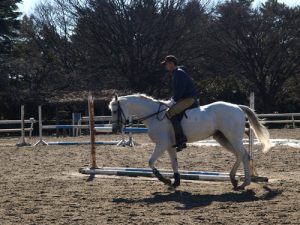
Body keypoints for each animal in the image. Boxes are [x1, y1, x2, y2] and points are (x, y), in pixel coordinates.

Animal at [108, 93, 272, 190]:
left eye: (115, 111)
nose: (115, 129)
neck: (154, 115)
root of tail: (237, 106)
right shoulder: (169, 146)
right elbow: (174, 163)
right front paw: (175, 182)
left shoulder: (161, 145)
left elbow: (150, 162)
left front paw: (165, 180)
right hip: (222, 138)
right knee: (239, 155)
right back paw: (234, 179)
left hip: (232, 137)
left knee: (244, 155)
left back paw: (244, 183)